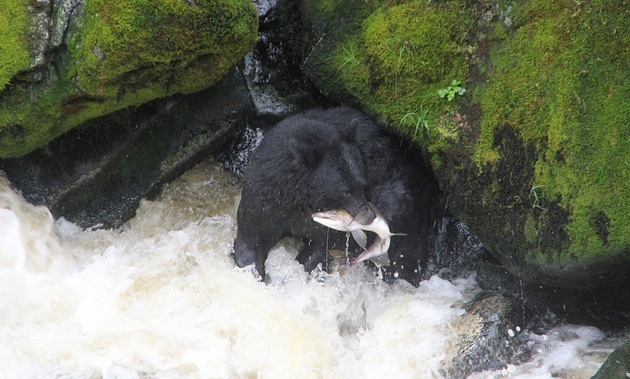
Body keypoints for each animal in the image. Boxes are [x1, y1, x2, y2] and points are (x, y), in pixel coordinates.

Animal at [233, 107, 440, 284]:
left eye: (362, 185)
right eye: (345, 191)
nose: (370, 215)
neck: (302, 198)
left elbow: (321, 245)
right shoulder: (266, 200)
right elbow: (252, 238)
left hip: (402, 200)